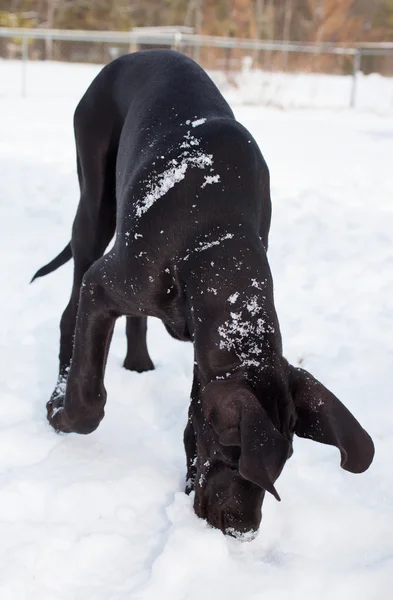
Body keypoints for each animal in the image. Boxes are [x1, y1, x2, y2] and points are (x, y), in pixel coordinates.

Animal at [32, 50, 372, 540]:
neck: (214, 237)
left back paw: (139, 361)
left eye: (289, 459)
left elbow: (191, 414)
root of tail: (137, 53)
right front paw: (62, 413)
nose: (243, 531)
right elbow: (89, 403)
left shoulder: (204, 352)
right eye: (234, 455)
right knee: (68, 310)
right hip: (93, 207)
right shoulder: (102, 286)